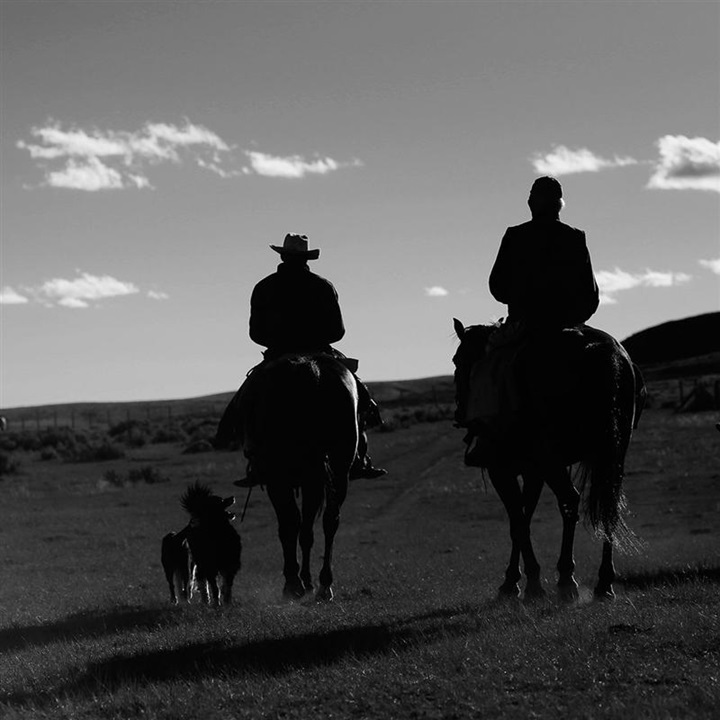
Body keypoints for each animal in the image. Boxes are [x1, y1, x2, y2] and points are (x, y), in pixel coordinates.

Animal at [242, 352, 358, 600]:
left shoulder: (278, 480)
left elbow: (289, 525)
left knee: (296, 522)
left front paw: (294, 581)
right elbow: (305, 529)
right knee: (330, 520)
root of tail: (312, 370)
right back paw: (325, 584)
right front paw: (306, 581)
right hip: (338, 468)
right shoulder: (311, 480)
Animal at [452, 320, 644, 600]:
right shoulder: (534, 471)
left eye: (457, 360)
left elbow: (518, 522)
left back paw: (566, 580)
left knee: (570, 500)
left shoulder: (502, 470)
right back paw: (604, 583)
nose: (459, 414)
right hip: (610, 455)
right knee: (606, 505)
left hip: (553, 459)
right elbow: (525, 516)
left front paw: (519, 582)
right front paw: (523, 580)